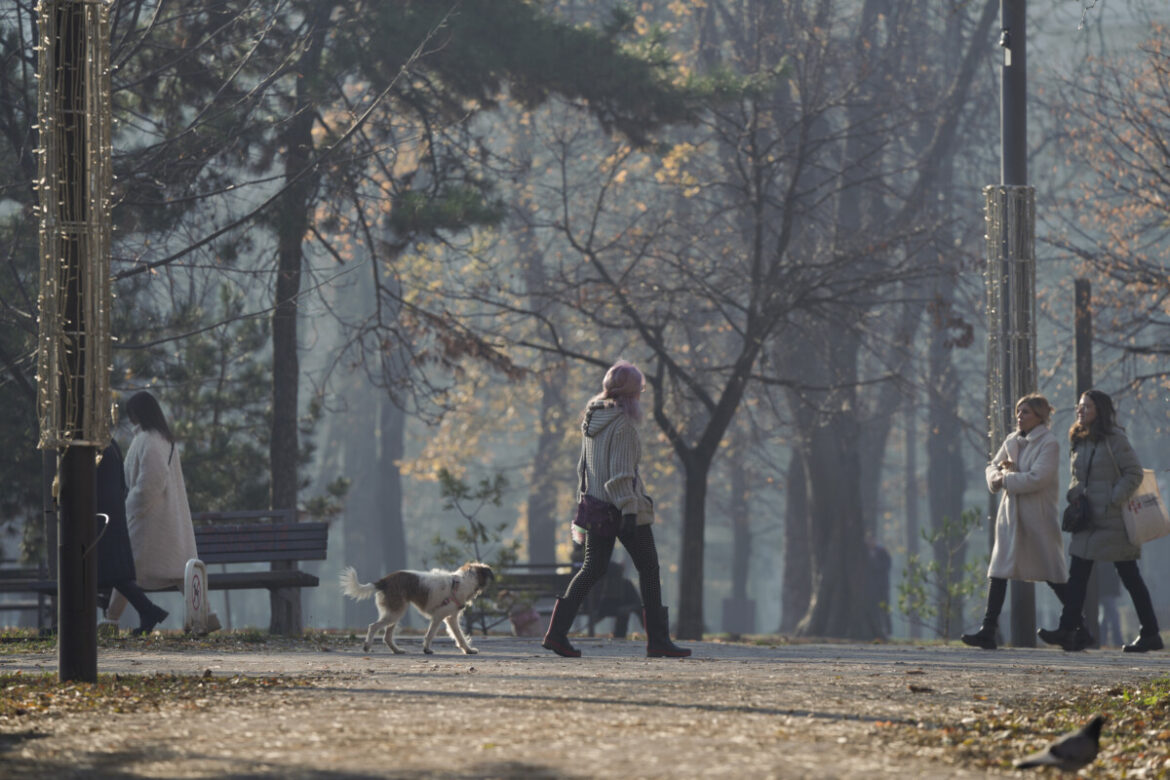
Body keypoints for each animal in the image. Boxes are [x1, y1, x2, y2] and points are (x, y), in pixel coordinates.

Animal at [341, 563, 498, 654]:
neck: (462, 582)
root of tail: (383, 581)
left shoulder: (451, 618)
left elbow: (459, 636)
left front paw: (468, 649)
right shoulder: (439, 617)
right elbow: (430, 634)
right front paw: (427, 649)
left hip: (395, 613)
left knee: (387, 636)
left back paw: (397, 650)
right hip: (395, 613)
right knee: (373, 626)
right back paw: (367, 646)